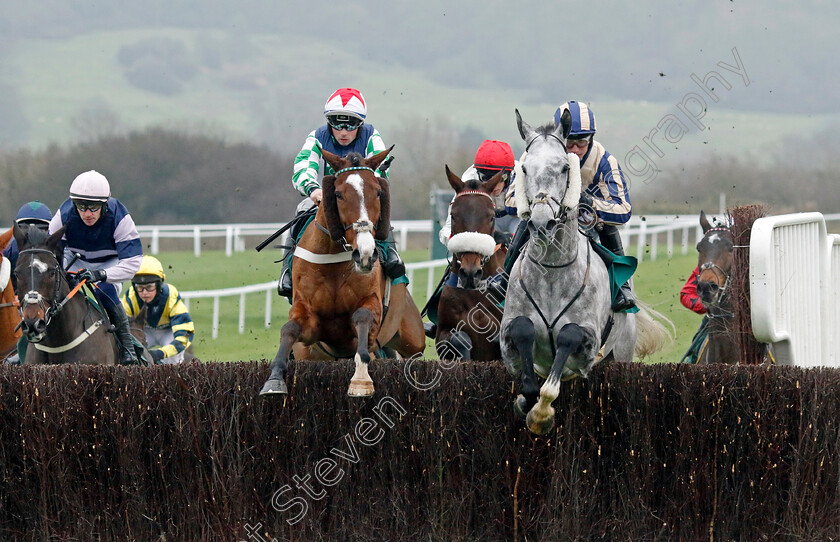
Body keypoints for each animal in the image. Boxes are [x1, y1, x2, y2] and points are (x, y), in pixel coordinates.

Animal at [260, 149, 426, 400]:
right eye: (338, 194)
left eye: (378, 192)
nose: (365, 253)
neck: (333, 260)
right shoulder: (307, 315)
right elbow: (289, 329)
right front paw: (274, 380)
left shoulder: (371, 308)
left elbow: (362, 320)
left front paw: (361, 380)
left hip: (412, 335)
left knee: (411, 352)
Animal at [498, 108, 668, 436]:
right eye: (524, 168)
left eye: (565, 167)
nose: (542, 223)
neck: (552, 271)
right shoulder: (509, 331)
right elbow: (523, 331)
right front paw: (526, 402)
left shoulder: (588, 339)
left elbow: (568, 337)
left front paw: (541, 415)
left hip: (620, 353)